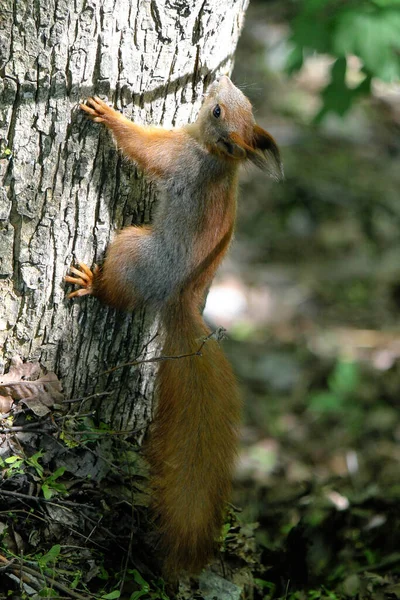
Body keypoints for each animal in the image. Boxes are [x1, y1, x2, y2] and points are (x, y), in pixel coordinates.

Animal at [65, 76, 282, 576]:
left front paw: (110, 115)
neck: (218, 156)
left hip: (133, 250)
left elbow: (142, 146)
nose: (219, 78)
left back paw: (91, 283)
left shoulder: (178, 157)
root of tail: (178, 297)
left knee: (116, 287)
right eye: (238, 102)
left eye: (218, 111)